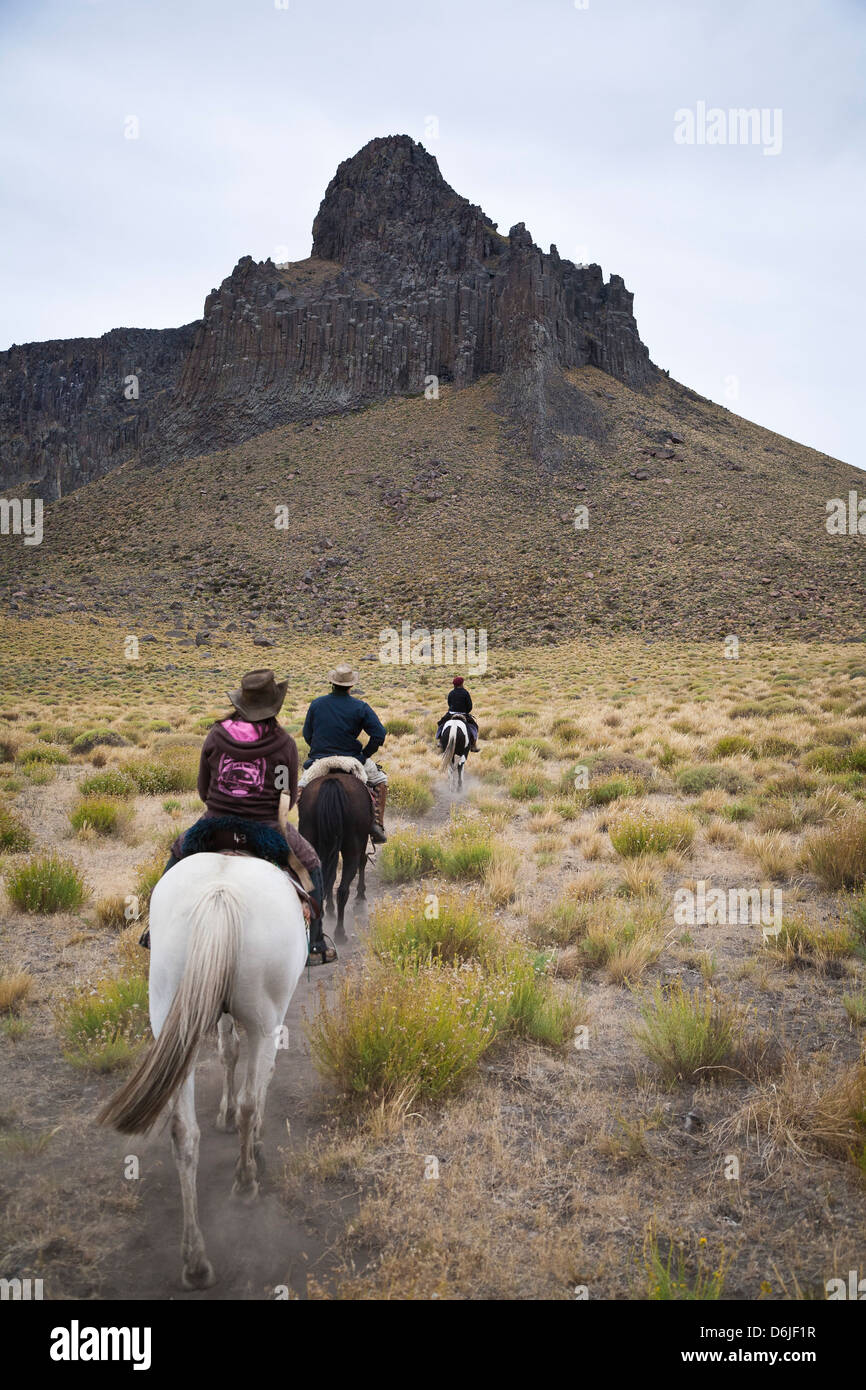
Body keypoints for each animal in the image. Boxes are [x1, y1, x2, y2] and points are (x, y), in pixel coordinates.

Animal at [297, 772, 372, 934]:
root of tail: (332, 782)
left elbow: (330, 876)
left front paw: (329, 909)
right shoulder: (362, 841)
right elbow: (363, 862)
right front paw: (361, 894)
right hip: (352, 847)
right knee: (343, 889)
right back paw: (339, 932)